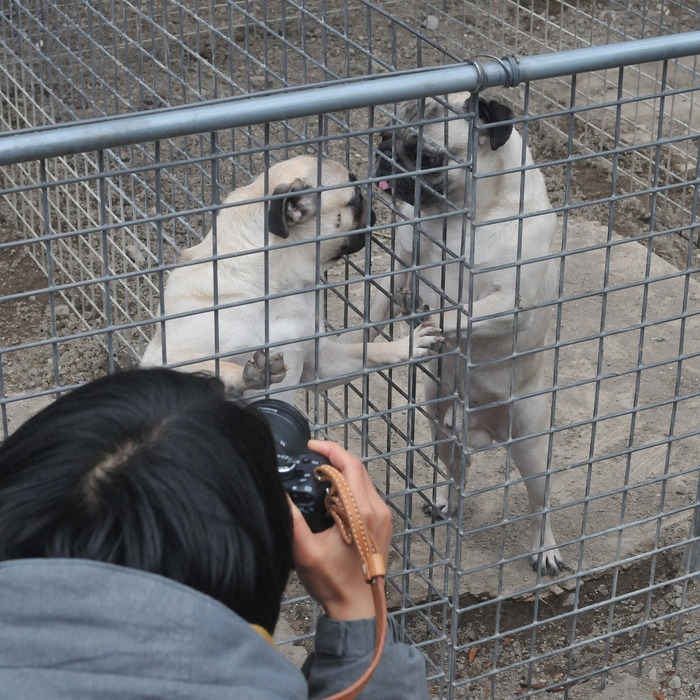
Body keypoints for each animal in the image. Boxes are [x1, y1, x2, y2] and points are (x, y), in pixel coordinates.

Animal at [139, 155, 440, 402]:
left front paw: (406, 345)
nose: (373, 209)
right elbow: (221, 365)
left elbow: (366, 350)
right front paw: (251, 375)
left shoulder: (317, 363)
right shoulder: (165, 358)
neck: (276, 286)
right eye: (355, 198)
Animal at [372, 91, 564, 576]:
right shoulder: (401, 265)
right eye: (383, 138)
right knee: (459, 472)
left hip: (531, 447)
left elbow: (458, 313)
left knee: (539, 502)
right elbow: (384, 297)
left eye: (427, 156)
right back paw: (447, 501)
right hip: (440, 429)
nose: (384, 159)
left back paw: (545, 548)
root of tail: (478, 426)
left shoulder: (508, 303)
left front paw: (426, 321)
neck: (456, 219)